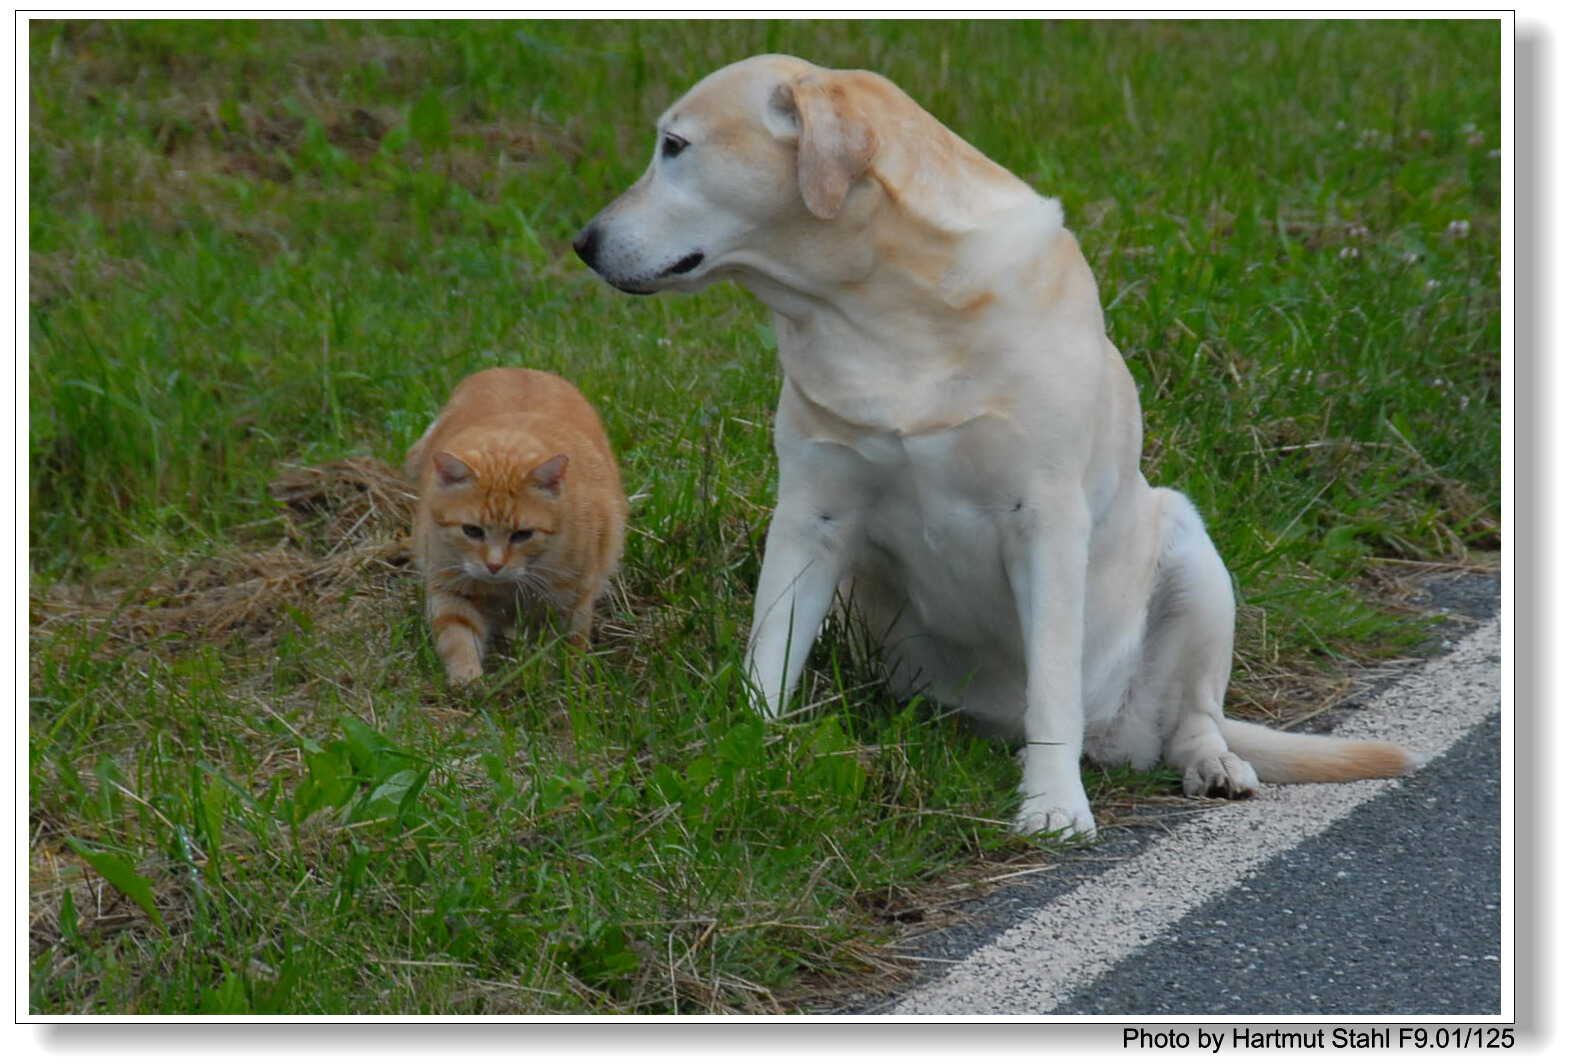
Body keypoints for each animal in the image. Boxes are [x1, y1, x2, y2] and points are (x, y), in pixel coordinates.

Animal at [406, 368, 626, 683]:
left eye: (523, 535)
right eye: (472, 531)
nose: (494, 566)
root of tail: (518, 369)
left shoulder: (573, 599)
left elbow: (569, 647)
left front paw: (563, 681)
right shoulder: (450, 589)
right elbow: (458, 638)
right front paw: (468, 679)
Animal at [572, 56, 1422, 837]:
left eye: (675, 146)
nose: (582, 241)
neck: (882, 302)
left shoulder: (1043, 519)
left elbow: (1051, 690)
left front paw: (1052, 805)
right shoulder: (812, 517)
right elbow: (768, 656)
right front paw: (749, 753)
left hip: (1190, 551)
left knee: (1193, 718)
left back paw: (1212, 762)